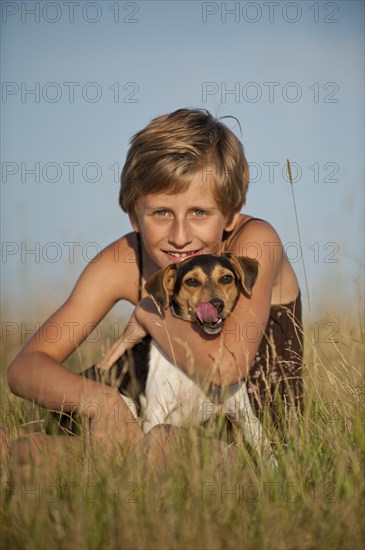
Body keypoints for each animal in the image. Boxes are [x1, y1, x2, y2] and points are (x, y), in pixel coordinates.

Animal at [81, 256, 274, 464]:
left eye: (226, 278)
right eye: (192, 281)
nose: (216, 304)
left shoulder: (245, 415)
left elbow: (268, 453)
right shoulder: (155, 414)